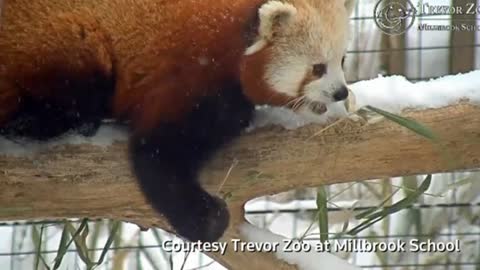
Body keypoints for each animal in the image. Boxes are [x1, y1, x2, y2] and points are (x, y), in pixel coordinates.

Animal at [0, 0, 356, 240]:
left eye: (341, 60)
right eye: (317, 68)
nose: (341, 92)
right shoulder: (191, 76)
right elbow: (157, 152)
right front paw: (207, 219)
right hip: (62, 42)